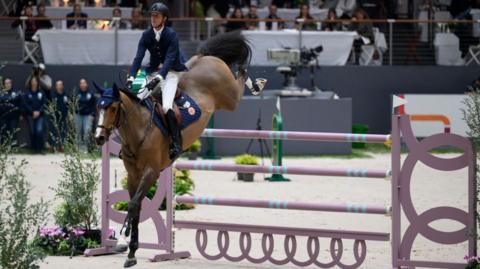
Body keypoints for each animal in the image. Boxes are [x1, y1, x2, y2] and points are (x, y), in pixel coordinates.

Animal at [90, 31, 262, 266]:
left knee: (240, 79)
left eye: (113, 108)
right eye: (98, 107)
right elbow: (137, 205)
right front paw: (131, 251)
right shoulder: (133, 174)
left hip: (230, 98)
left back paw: (256, 83)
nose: (99, 138)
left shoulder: (151, 171)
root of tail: (205, 57)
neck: (140, 129)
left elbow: (133, 205)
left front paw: (125, 239)